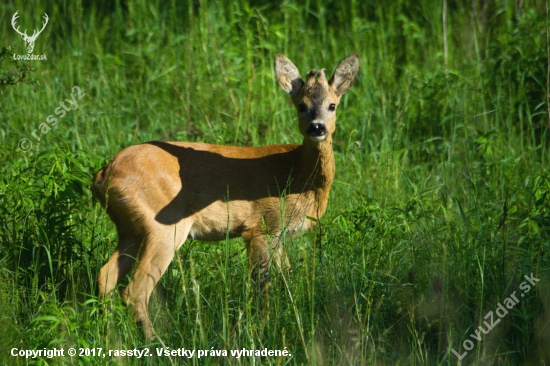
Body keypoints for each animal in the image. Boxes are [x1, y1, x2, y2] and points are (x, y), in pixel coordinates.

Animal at [94, 53, 362, 338]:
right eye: (301, 105)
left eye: (332, 105)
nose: (317, 127)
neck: (298, 174)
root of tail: (104, 174)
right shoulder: (261, 227)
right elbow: (262, 286)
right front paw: (262, 328)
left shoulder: (279, 233)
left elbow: (288, 278)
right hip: (163, 227)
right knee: (135, 290)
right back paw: (156, 341)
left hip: (131, 229)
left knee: (105, 275)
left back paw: (110, 333)